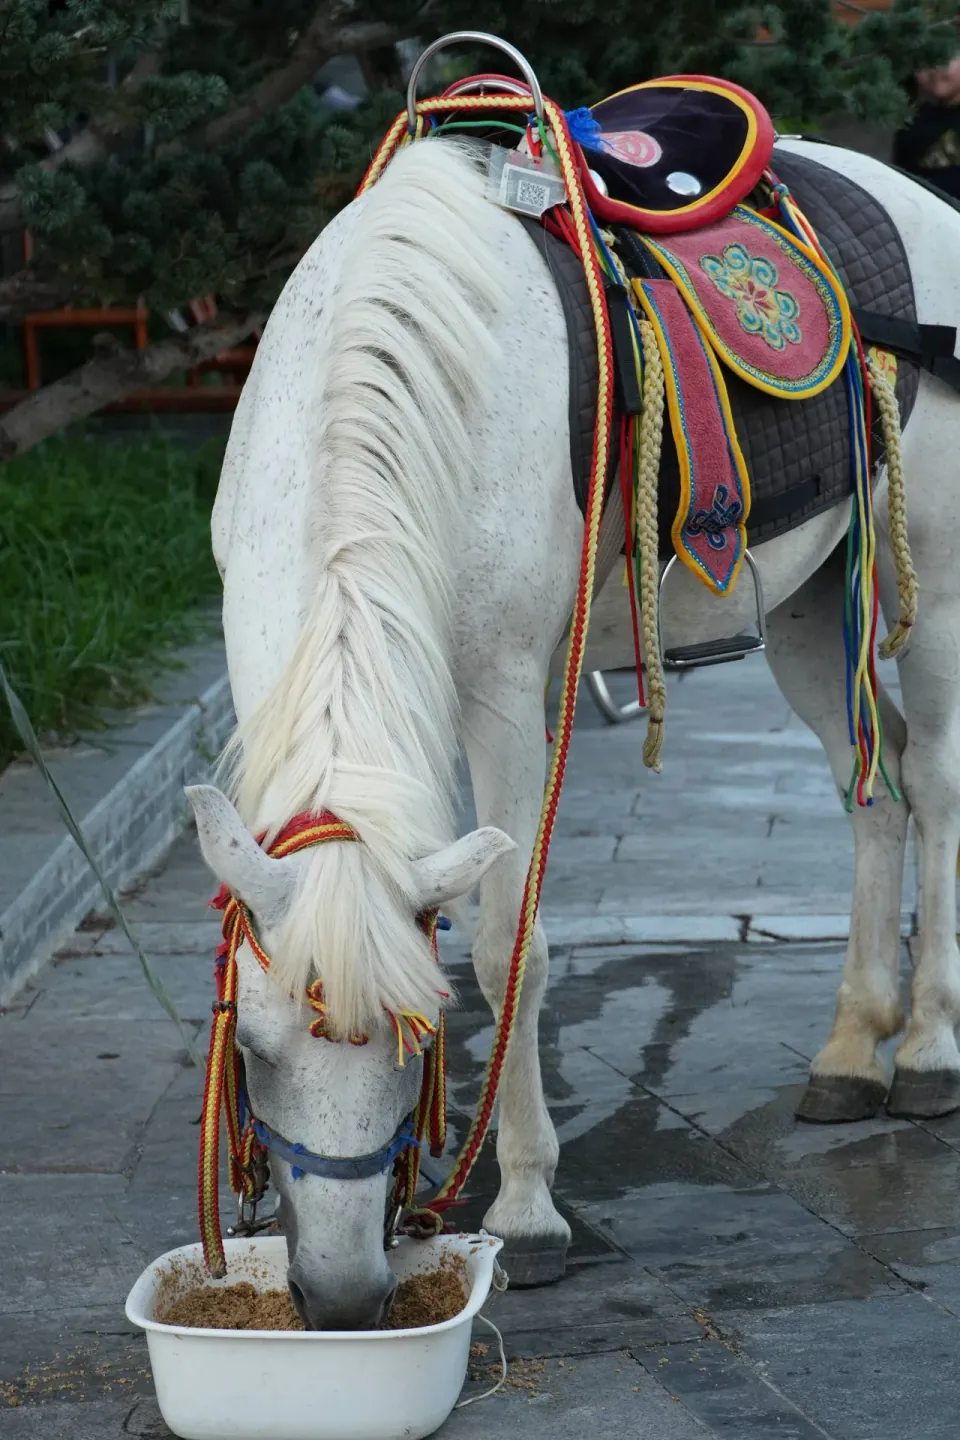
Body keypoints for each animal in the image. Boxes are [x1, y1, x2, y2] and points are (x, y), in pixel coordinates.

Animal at [187, 131, 960, 1329]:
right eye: (256, 1048)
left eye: (415, 1043)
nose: (345, 1295)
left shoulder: (509, 693)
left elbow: (509, 942)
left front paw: (526, 1207)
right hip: (805, 604)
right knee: (870, 789)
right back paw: (851, 1048)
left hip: (933, 583)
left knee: (937, 785)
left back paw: (925, 1047)